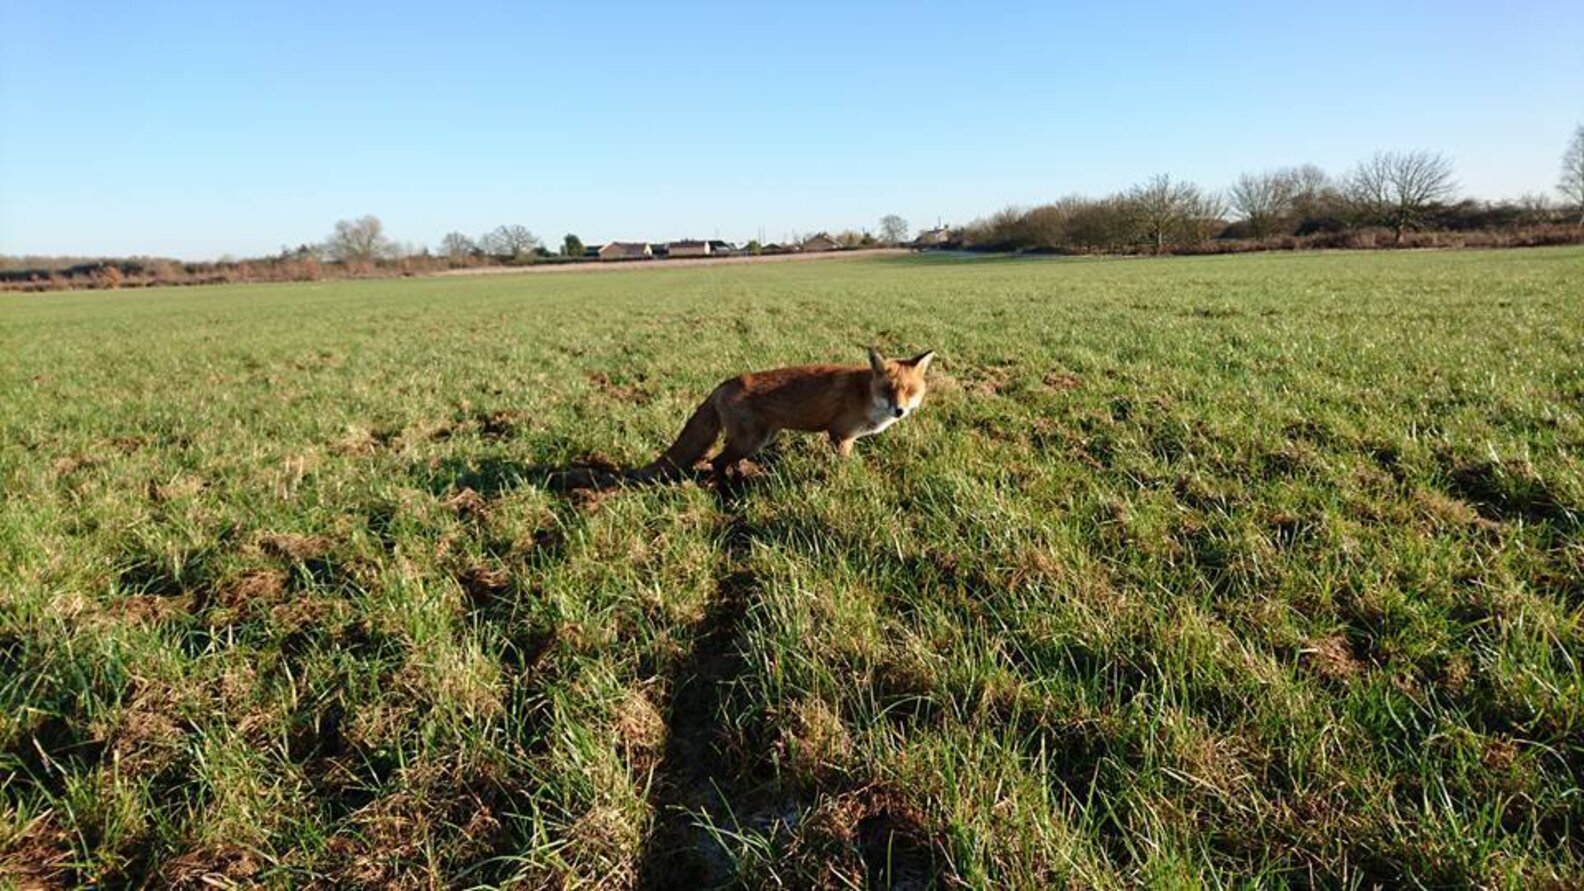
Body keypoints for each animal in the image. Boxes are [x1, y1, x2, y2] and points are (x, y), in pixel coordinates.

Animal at [644, 346, 937, 479]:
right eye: (888, 389)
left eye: (910, 391)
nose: (899, 410)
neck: (865, 394)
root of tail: (724, 383)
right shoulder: (840, 435)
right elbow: (842, 465)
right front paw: (844, 481)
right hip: (750, 440)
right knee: (716, 461)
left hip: (760, 439)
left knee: (726, 460)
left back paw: (743, 475)